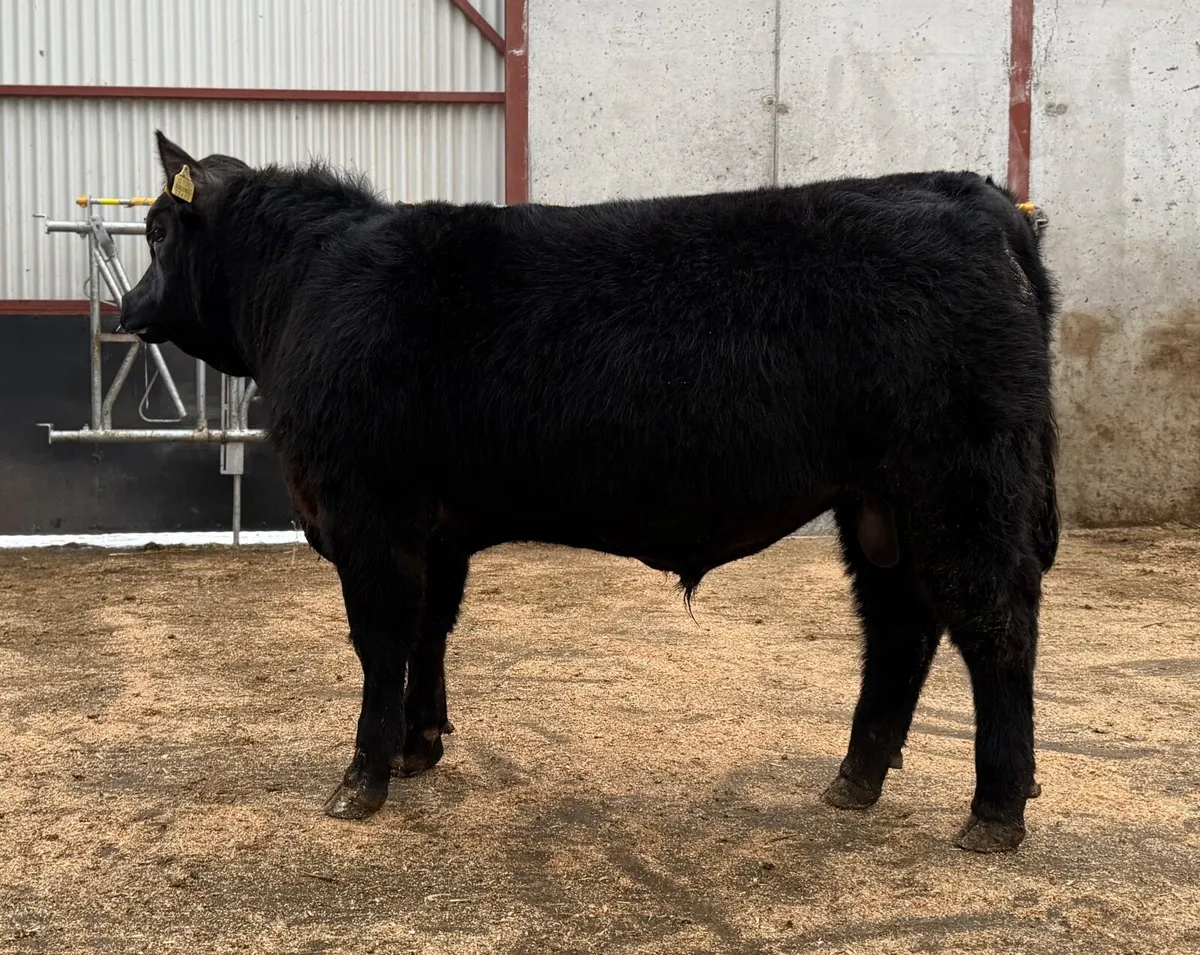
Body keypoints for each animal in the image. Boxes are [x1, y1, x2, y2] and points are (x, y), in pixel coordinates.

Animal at [120, 131, 1059, 853]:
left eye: (159, 230)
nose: (128, 310)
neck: (306, 288)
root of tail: (976, 196)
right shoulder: (437, 528)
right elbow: (430, 632)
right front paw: (422, 746)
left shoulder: (367, 513)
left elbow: (380, 641)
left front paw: (361, 779)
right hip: (879, 505)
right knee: (900, 626)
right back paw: (855, 778)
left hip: (960, 482)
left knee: (995, 625)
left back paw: (994, 811)